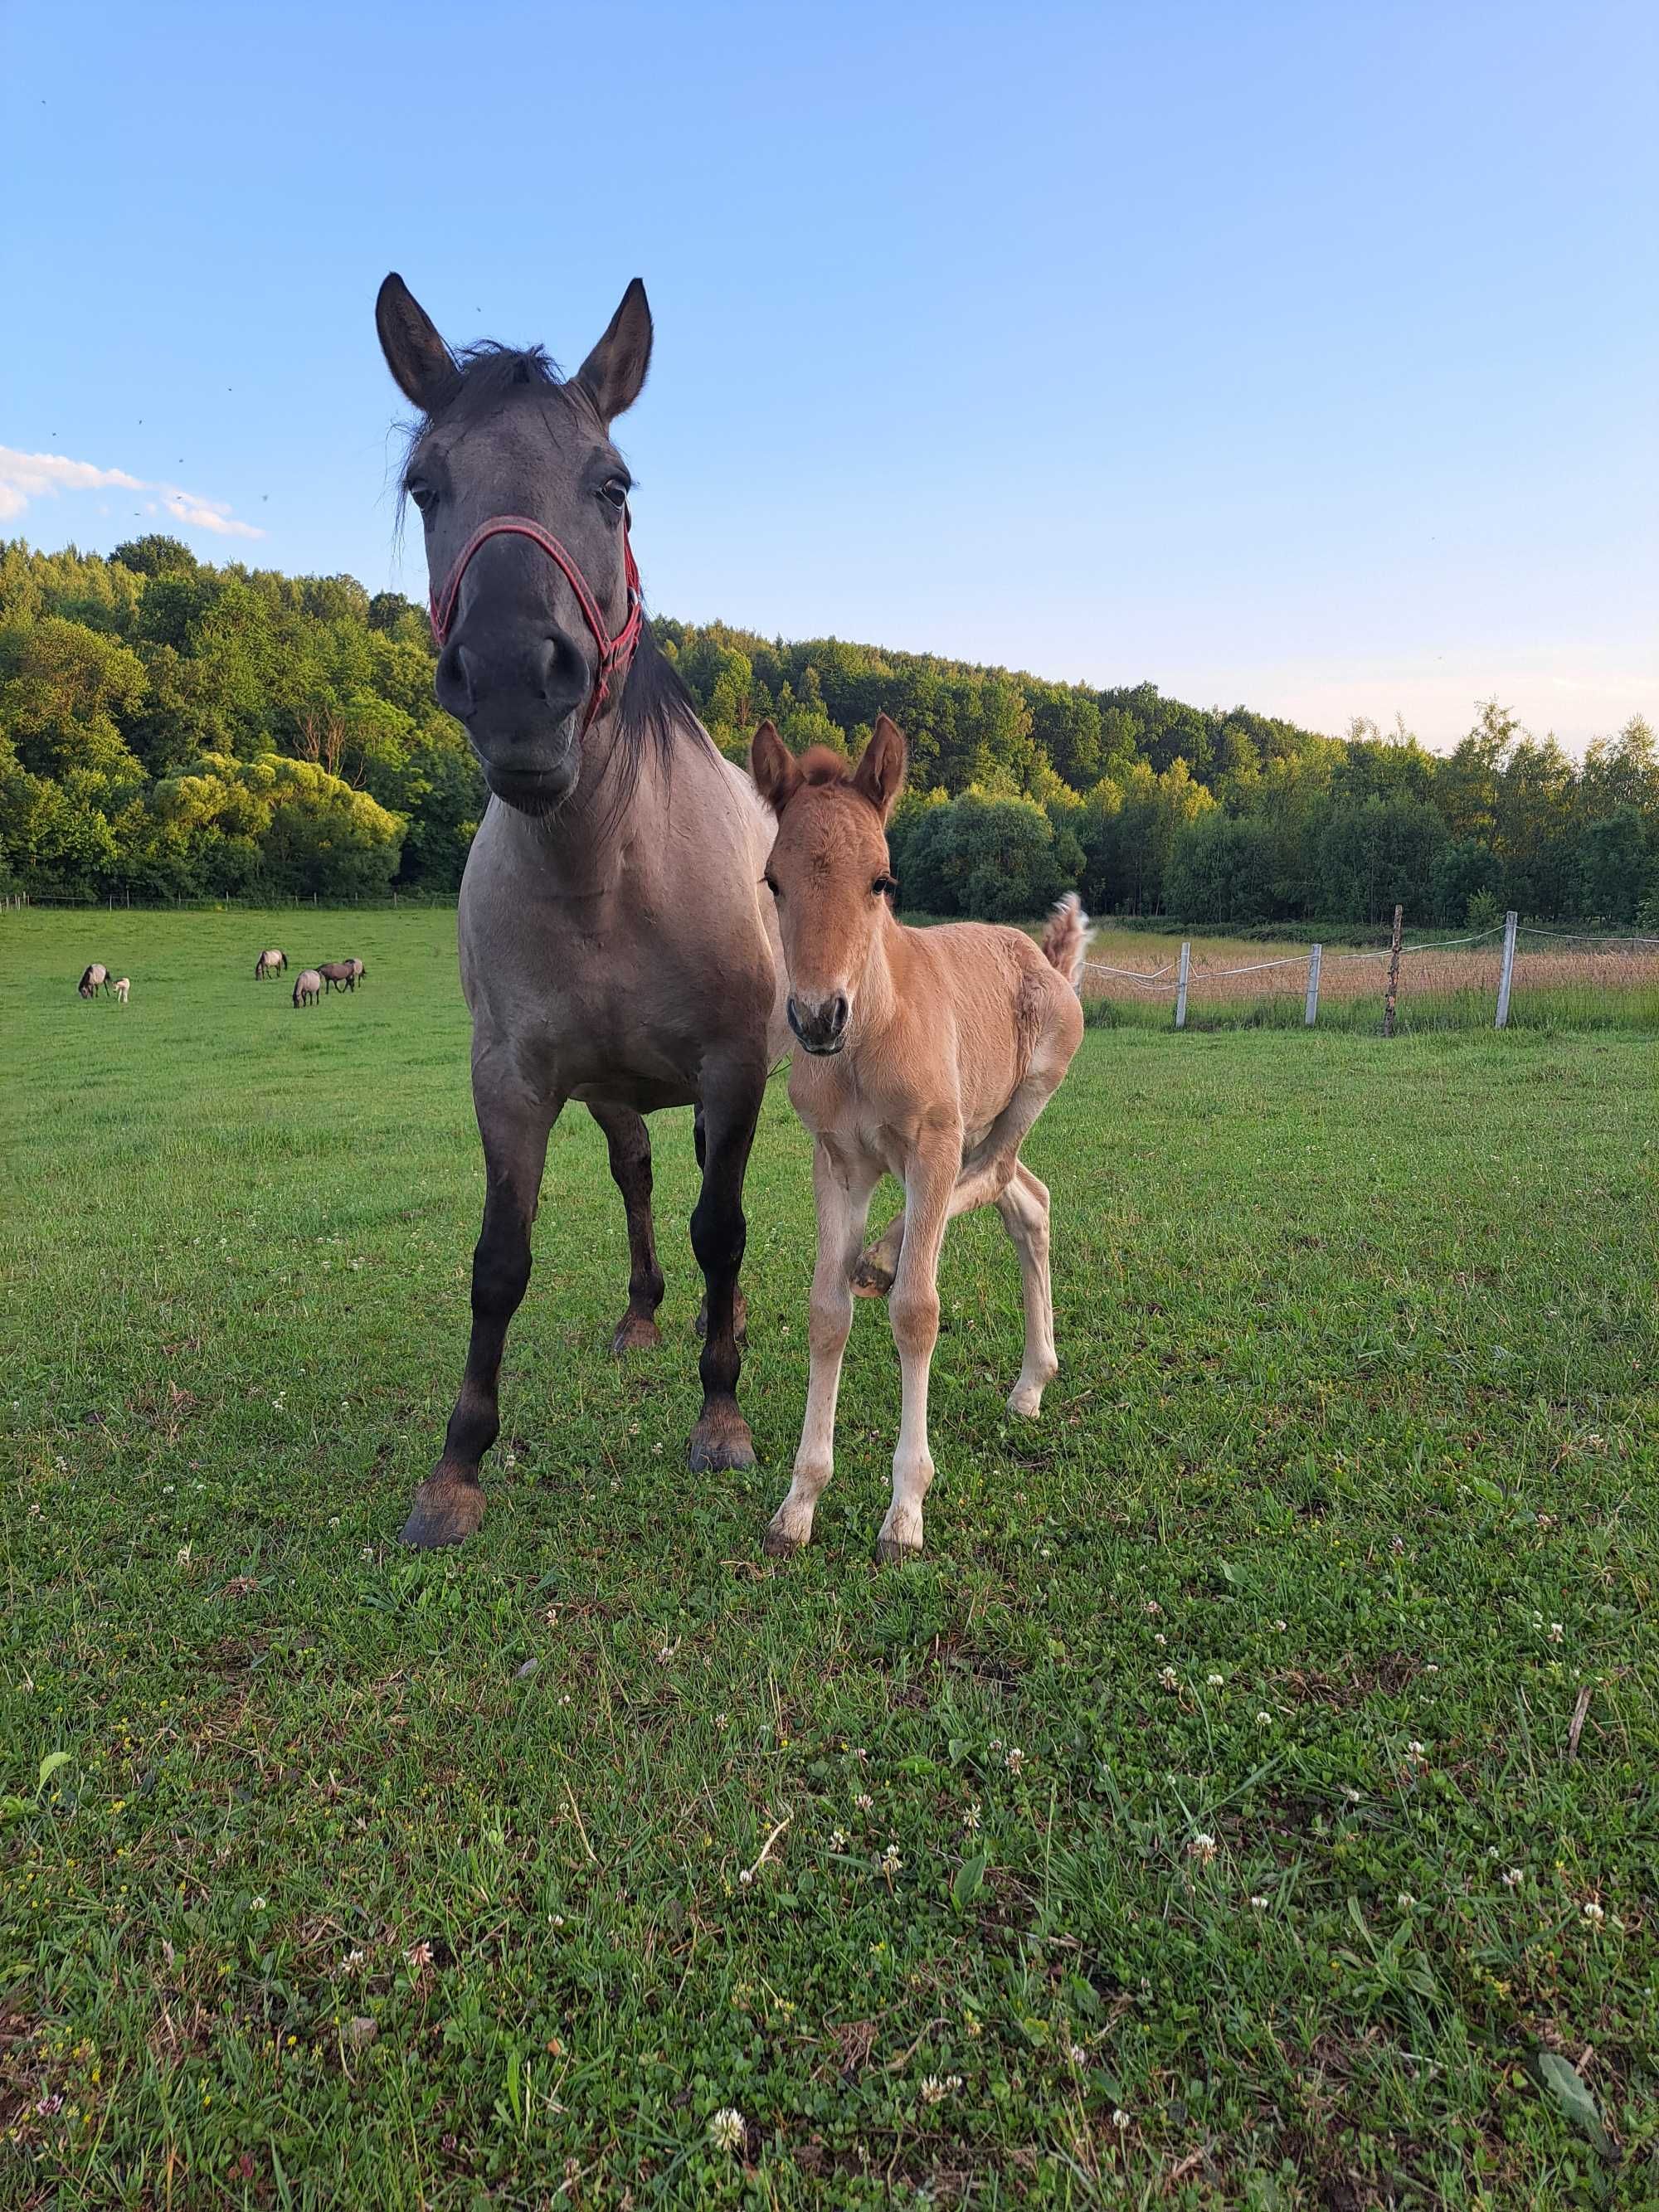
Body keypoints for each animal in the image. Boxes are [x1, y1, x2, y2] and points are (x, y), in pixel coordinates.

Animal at [380, 272, 787, 1557]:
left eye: (612, 486)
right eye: (428, 485)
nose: (517, 676)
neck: (604, 869)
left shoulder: (733, 1067)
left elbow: (725, 1229)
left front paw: (723, 1416)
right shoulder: (510, 1080)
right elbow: (499, 1260)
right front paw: (456, 1465)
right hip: (610, 1092)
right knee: (641, 1177)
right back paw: (648, 1313)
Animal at [752, 717, 1092, 1566]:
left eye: (882, 879)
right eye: (773, 881)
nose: (817, 1016)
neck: (868, 1038)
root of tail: (1045, 956)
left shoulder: (930, 1146)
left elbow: (916, 1311)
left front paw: (905, 1511)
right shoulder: (837, 1163)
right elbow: (826, 1312)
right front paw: (798, 1504)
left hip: (1021, 1096)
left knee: (997, 1174)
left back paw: (889, 1255)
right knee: (1026, 1200)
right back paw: (1031, 1381)